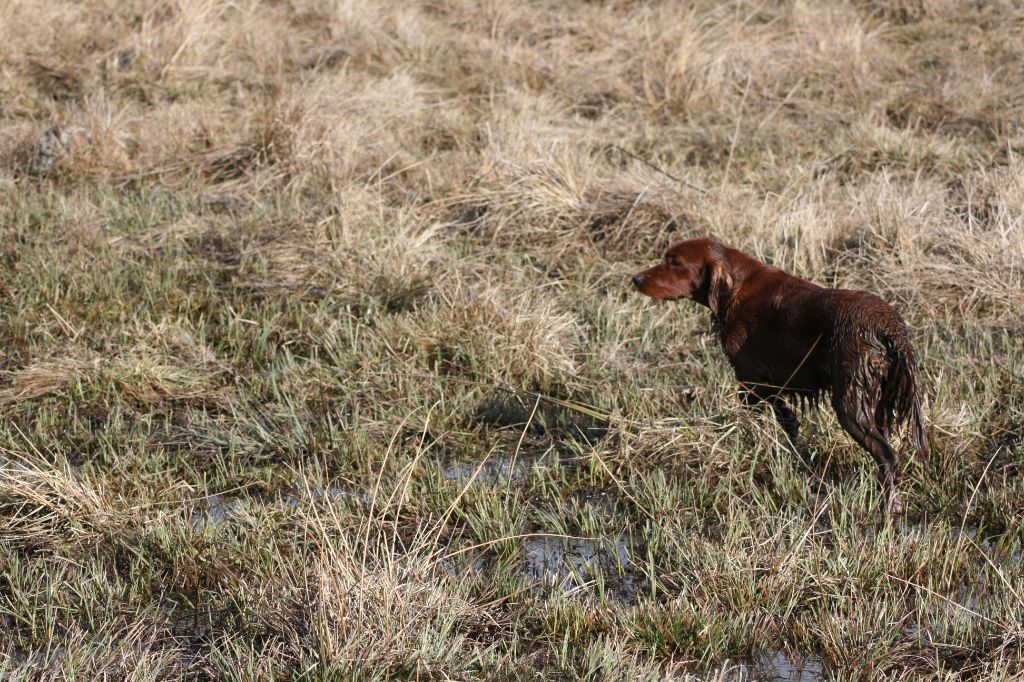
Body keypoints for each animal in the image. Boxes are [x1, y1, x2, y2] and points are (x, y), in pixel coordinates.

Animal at [630, 236, 929, 507]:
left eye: (675, 262)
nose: (636, 279)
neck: (735, 287)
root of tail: (887, 326)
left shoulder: (749, 381)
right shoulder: (769, 385)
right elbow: (790, 423)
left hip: (850, 403)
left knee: (888, 455)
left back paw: (889, 506)